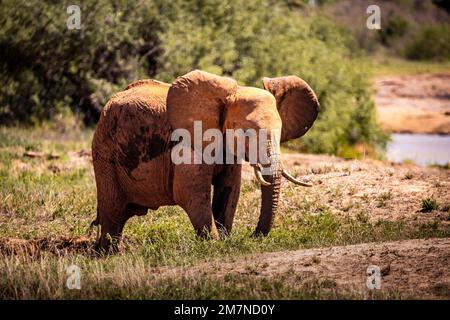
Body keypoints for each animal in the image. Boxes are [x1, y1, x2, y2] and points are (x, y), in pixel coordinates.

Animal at [91, 70, 318, 252]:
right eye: (246, 133)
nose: (252, 235)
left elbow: (229, 191)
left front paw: (225, 240)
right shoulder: (186, 142)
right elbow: (190, 193)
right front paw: (216, 245)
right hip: (104, 153)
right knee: (113, 210)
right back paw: (109, 254)